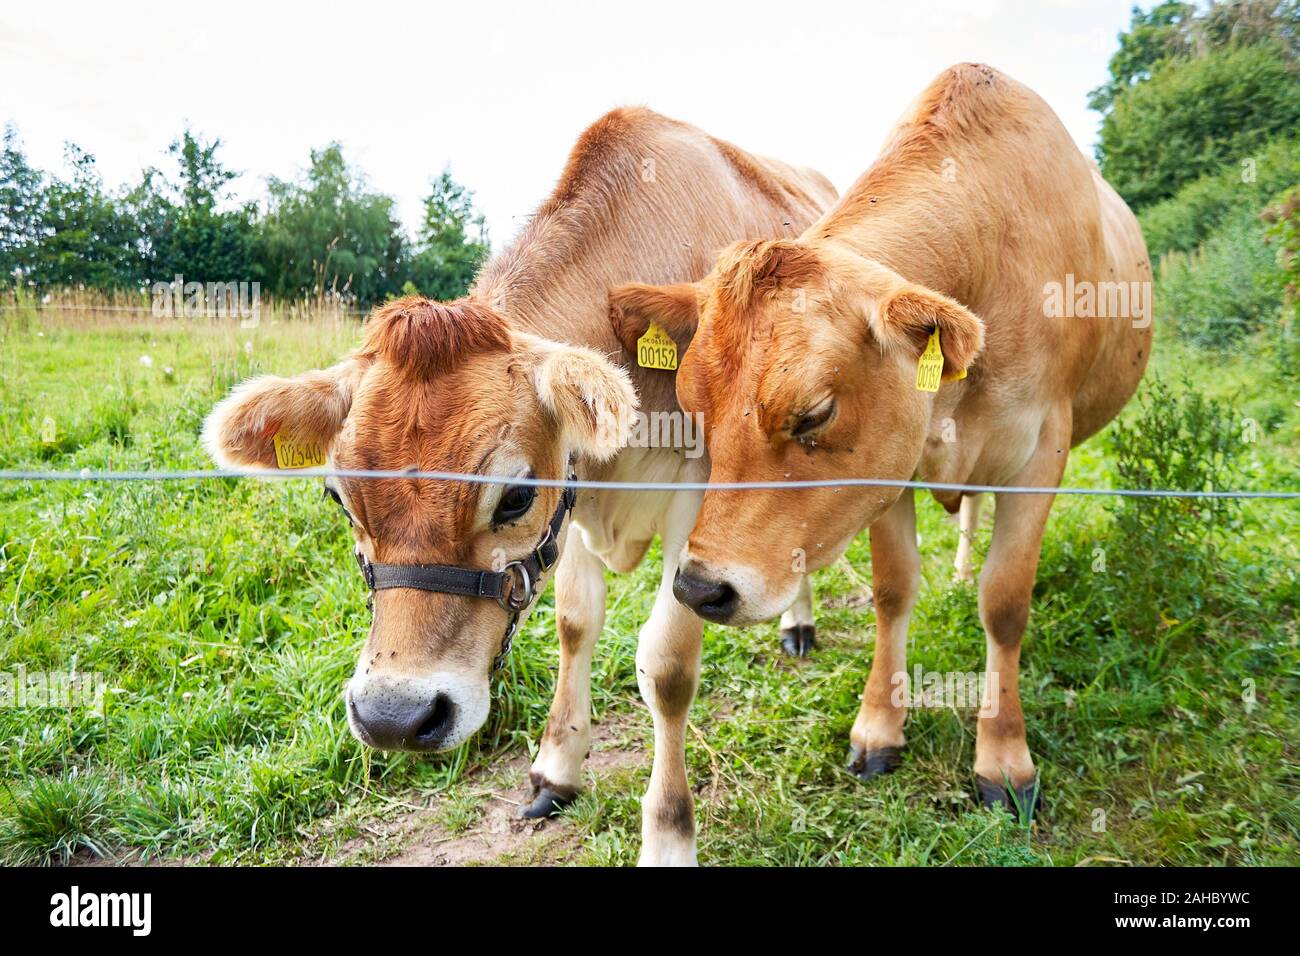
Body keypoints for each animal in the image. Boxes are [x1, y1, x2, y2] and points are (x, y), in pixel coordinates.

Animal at [202, 107, 836, 866]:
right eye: (340, 497)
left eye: (512, 496)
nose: (395, 717)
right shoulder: (578, 497)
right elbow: (575, 622)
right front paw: (557, 770)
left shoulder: (699, 496)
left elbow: (666, 665)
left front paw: (668, 836)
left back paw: (799, 625)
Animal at [609, 64, 1153, 845]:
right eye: (693, 409)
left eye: (815, 412)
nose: (700, 589)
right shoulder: (888, 472)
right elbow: (893, 590)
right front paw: (878, 727)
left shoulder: (1040, 454)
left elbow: (1005, 603)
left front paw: (1005, 759)